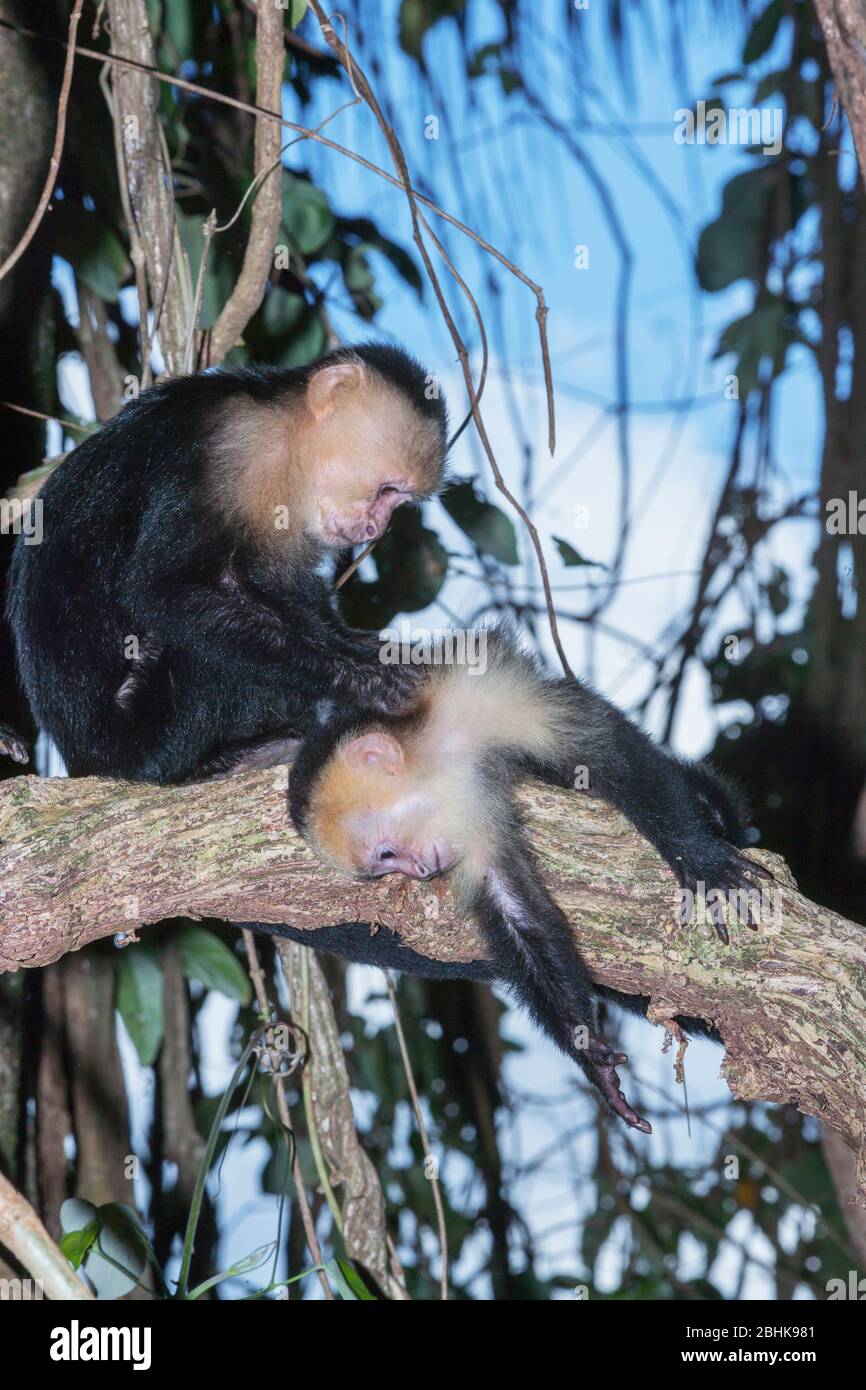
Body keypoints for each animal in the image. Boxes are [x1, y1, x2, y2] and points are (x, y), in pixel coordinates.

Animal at [6, 343, 450, 789]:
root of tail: (80, 756)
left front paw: (381, 652)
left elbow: (291, 599)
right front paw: (365, 679)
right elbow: (163, 590)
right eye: (387, 490)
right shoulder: (236, 447)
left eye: (398, 501)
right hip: (132, 733)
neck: (287, 443)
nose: (377, 527)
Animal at [273, 636, 767, 1134]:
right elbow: (517, 914)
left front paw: (700, 860)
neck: (442, 770)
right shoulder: (464, 831)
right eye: (385, 868)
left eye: (386, 855)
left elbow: (603, 750)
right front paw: (590, 1057)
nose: (419, 872)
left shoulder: (473, 705)